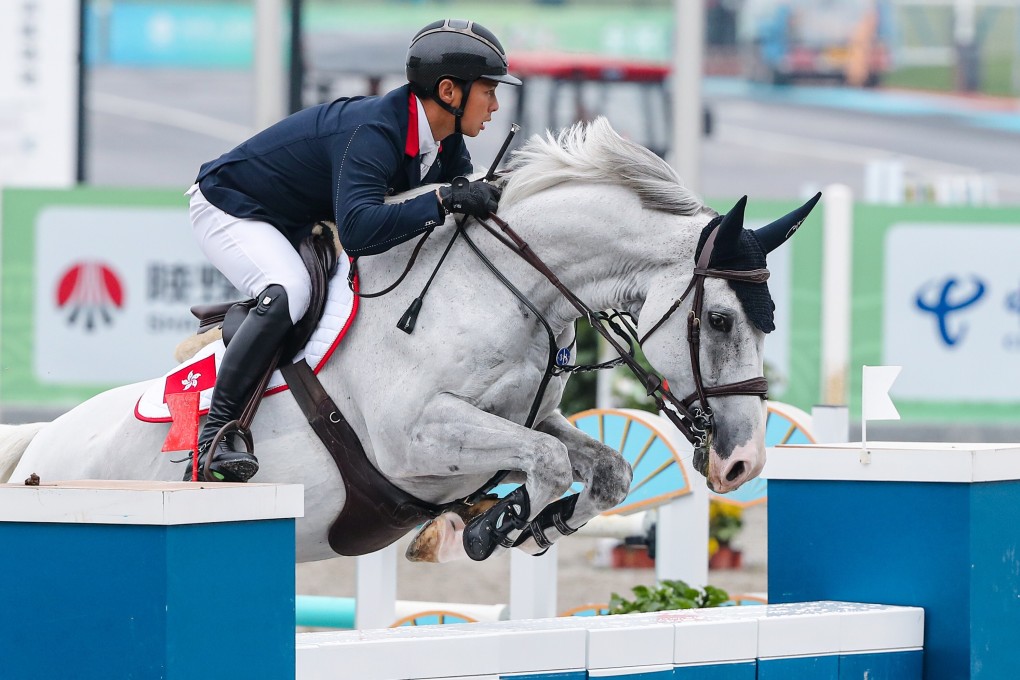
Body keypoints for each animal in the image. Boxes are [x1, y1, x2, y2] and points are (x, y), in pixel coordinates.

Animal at [0, 118, 816, 564]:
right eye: (721, 321)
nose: (743, 464)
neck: (500, 288)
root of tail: (39, 445)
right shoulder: (415, 437)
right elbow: (549, 463)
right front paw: (500, 523)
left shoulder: (529, 417)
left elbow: (603, 467)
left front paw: (542, 522)